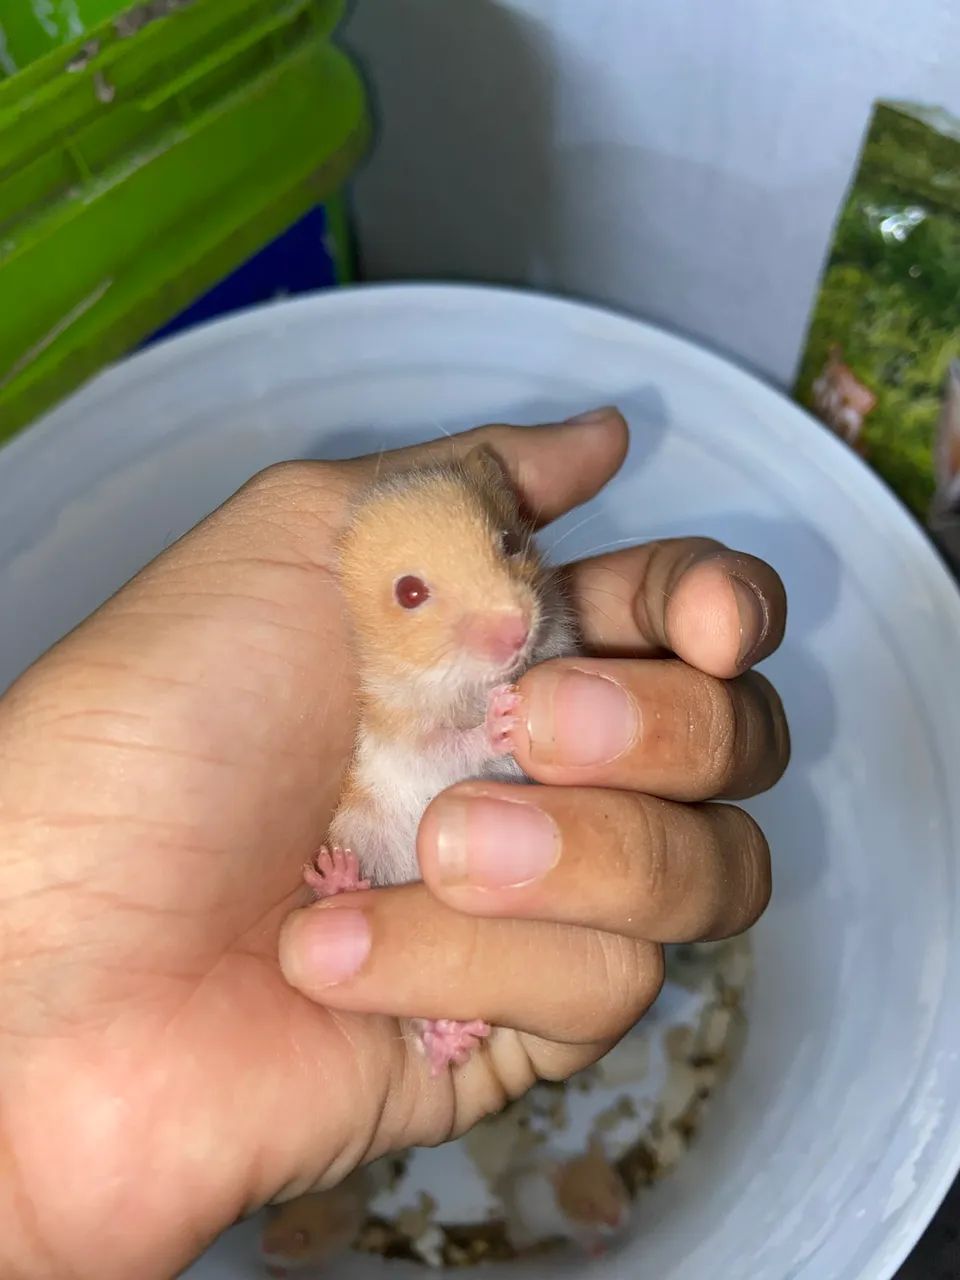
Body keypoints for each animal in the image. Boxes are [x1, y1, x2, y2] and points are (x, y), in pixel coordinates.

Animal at [303, 444, 579, 1072]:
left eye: (509, 541)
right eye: (409, 592)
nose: (517, 632)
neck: (457, 683)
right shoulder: (399, 734)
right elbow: (446, 746)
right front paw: (503, 718)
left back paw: (456, 1039)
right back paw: (340, 881)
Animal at [497, 1136, 632, 1258]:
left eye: (614, 1188)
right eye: (588, 1206)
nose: (616, 1221)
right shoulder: (573, 1229)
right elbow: (588, 1242)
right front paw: (601, 1252)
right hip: (523, 1231)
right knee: (514, 1241)